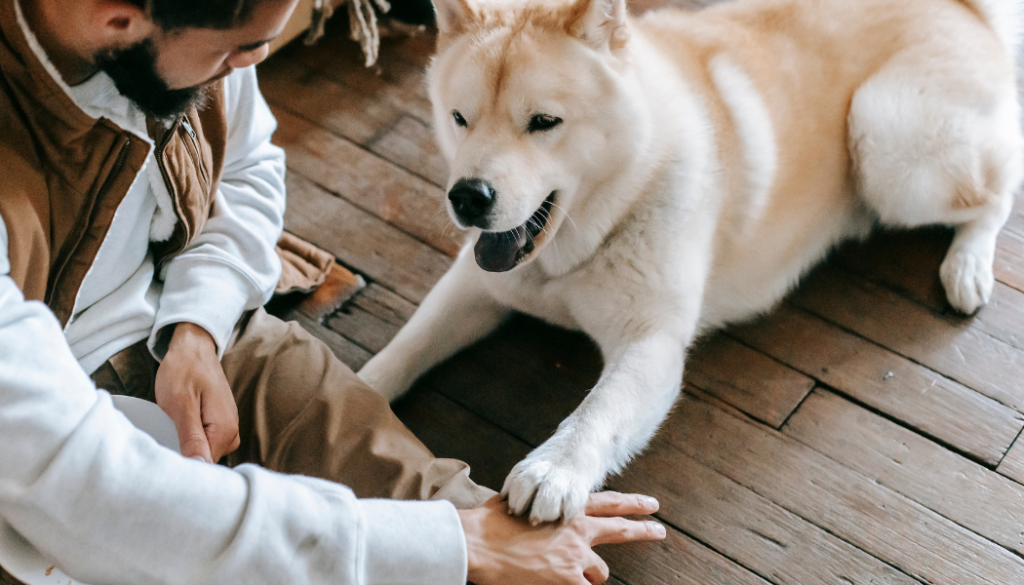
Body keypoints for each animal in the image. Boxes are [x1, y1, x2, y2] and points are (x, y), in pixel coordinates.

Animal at [356, 0, 1019, 524]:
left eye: (544, 122)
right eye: (459, 118)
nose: (468, 197)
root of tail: (963, 7)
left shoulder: (652, 342)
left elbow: (597, 412)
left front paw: (553, 472)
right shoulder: (474, 286)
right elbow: (406, 348)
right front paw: (354, 394)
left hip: (885, 140)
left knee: (998, 191)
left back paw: (967, 266)